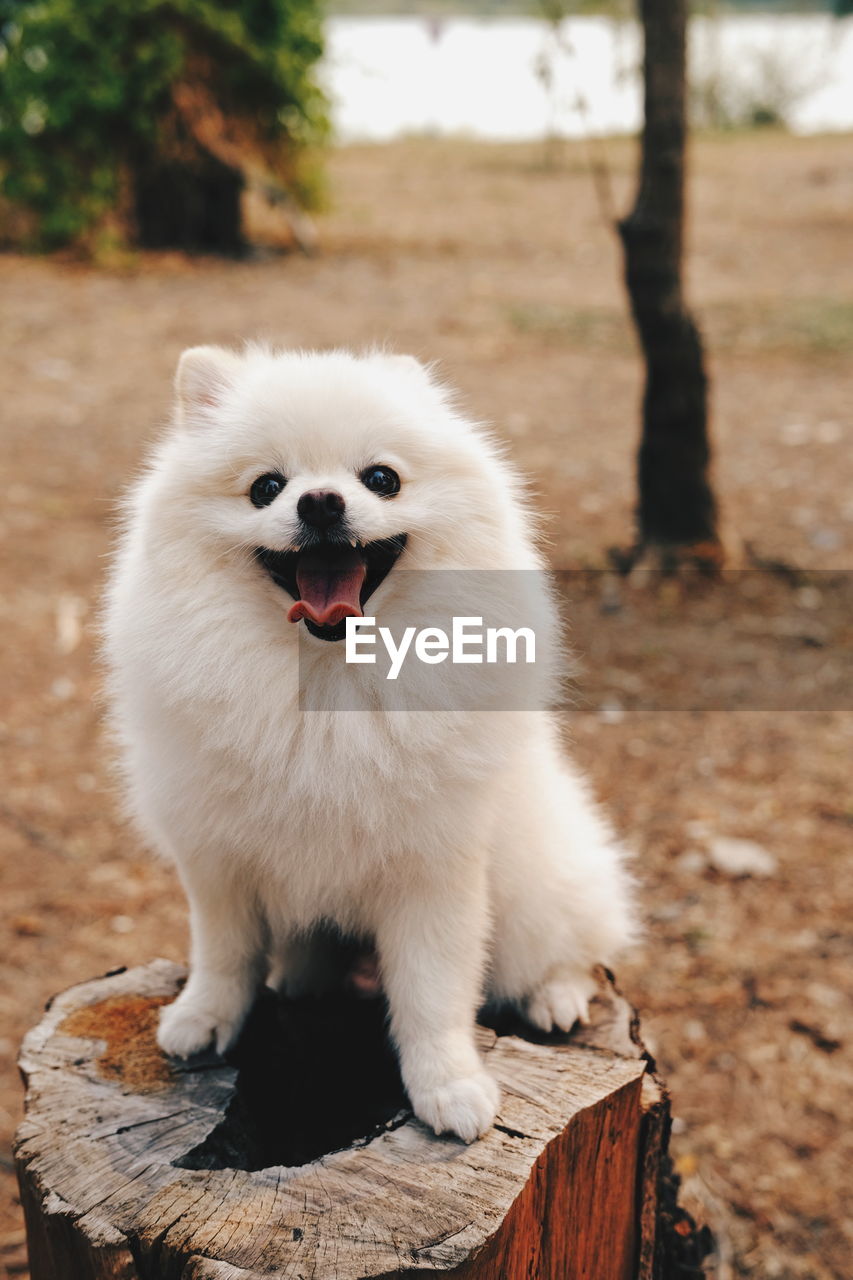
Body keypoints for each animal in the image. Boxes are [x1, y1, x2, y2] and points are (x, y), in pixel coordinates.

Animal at [101, 348, 630, 1141]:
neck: (326, 680)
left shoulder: (433, 868)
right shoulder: (218, 856)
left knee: (571, 944)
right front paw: (204, 1017)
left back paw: (555, 997)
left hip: (536, 887)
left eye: (382, 478)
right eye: (265, 487)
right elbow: (224, 954)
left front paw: (448, 1085)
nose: (320, 502)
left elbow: (432, 992)